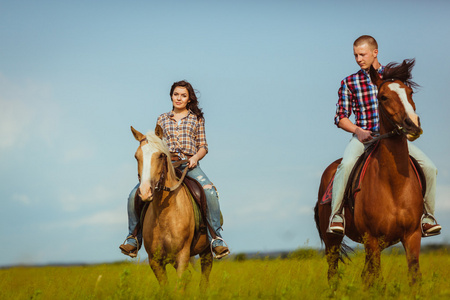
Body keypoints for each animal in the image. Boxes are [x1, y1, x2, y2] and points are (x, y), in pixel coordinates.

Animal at [131, 125, 214, 290]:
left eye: (161, 156)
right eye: (137, 156)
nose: (145, 192)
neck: (164, 215)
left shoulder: (182, 257)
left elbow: (179, 288)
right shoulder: (155, 261)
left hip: (207, 252)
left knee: (204, 281)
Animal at [314, 59, 424, 286]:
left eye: (410, 92)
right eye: (383, 97)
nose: (412, 125)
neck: (394, 185)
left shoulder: (412, 235)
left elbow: (414, 277)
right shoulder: (372, 239)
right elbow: (377, 282)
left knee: (365, 275)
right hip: (333, 241)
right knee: (333, 275)